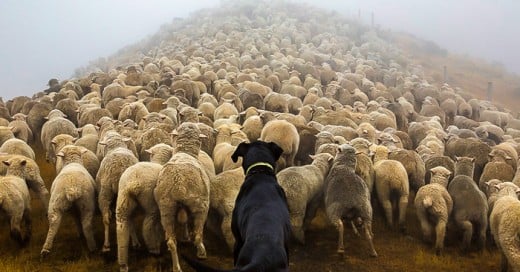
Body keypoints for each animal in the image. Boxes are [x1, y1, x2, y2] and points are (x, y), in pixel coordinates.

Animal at [154, 122, 211, 270]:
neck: (185, 152)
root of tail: (178, 183)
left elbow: (184, 220)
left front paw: (184, 236)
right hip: (201, 205)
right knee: (198, 235)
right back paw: (201, 252)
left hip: (166, 208)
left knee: (171, 242)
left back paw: (176, 267)